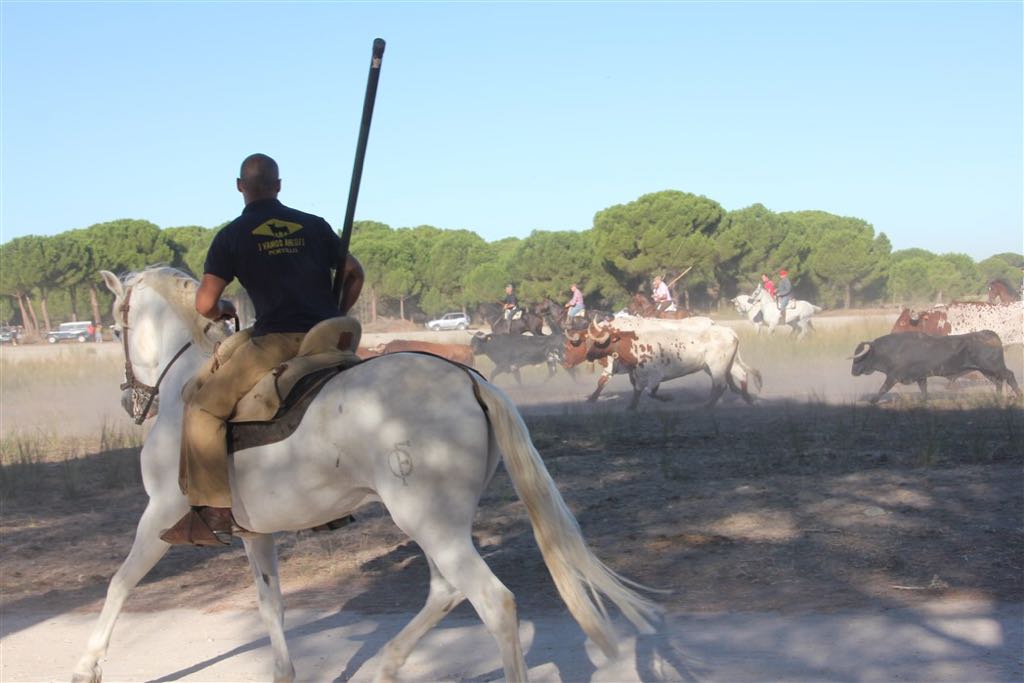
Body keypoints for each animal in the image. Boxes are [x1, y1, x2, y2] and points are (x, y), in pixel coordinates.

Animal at [74, 266, 663, 683]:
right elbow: (271, 604)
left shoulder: (162, 514)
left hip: (426, 522)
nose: (130, 399)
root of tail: (470, 379)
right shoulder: (255, 533)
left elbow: (119, 584)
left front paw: (89, 664)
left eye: (118, 320)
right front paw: (284, 673)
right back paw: (387, 665)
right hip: (437, 525)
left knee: (492, 603)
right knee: (445, 590)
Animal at [851, 329, 1019, 403]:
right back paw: (998, 397)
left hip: (993, 368)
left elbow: (883, 389)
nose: (853, 371)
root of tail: (991, 335)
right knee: (999, 381)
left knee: (1009, 375)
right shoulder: (920, 377)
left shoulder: (893, 377)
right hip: (986, 371)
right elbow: (923, 390)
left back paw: (1018, 395)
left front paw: (872, 400)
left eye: (861, 356)